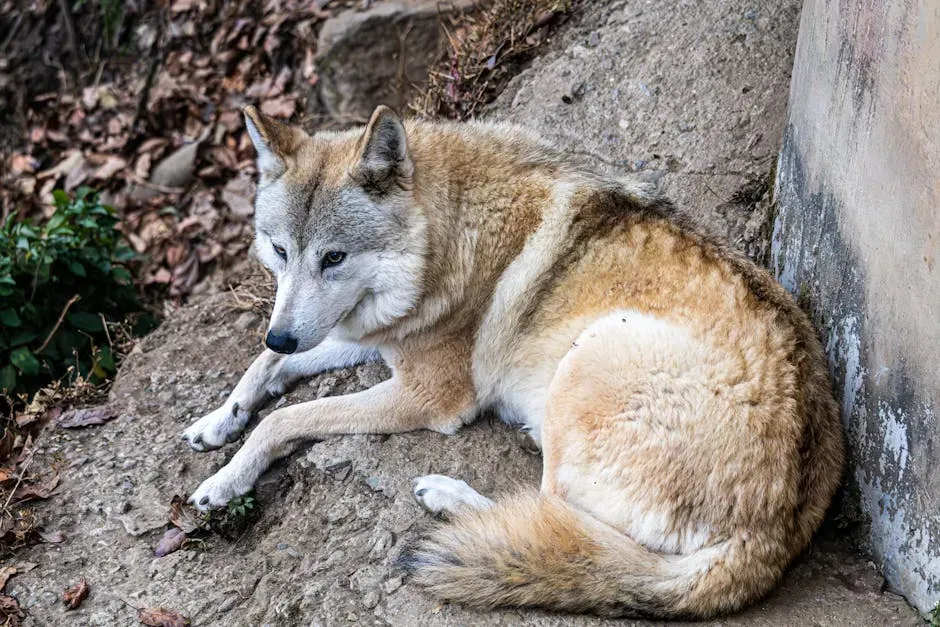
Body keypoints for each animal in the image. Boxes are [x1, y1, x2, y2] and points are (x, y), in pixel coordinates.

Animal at [181, 104, 843, 618]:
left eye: (334, 257)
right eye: (280, 250)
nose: (281, 335)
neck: (447, 231)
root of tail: (769, 542)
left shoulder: (427, 395)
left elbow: (287, 418)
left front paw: (224, 480)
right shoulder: (374, 335)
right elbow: (263, 371)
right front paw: (217, 423)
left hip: (591, 356)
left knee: (551, 521)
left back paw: (449, 496)